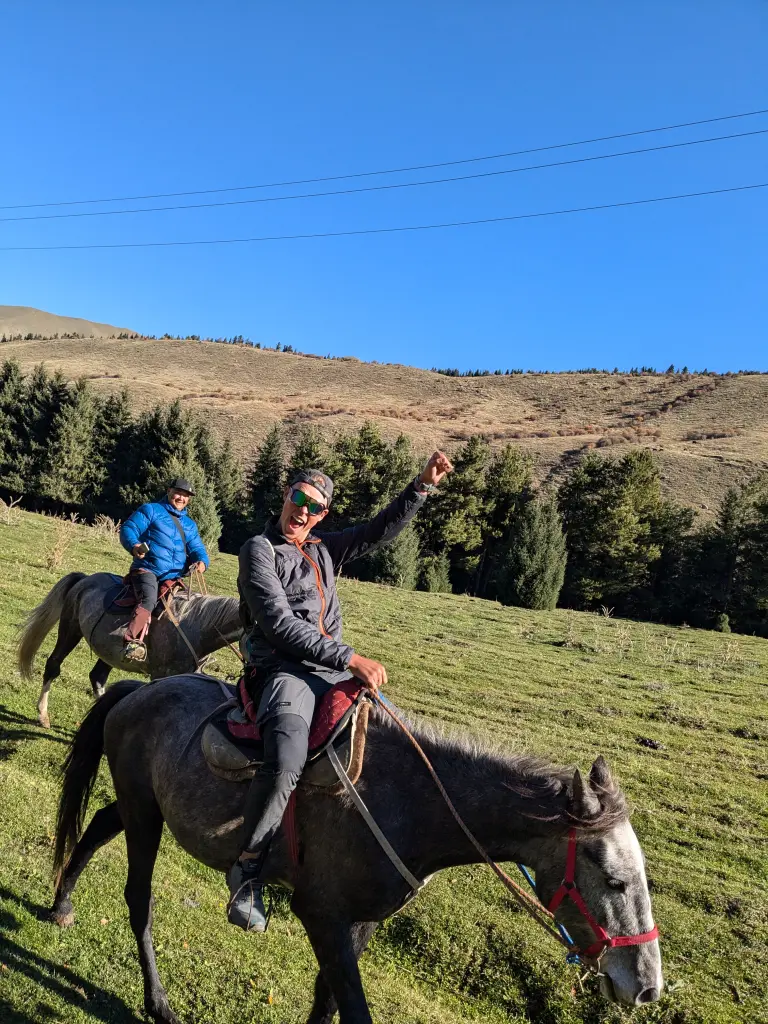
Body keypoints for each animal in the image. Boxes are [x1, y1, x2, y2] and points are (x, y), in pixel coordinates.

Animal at [16, 569, 241, 729]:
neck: (194, 625)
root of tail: (85, 579)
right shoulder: (160, 674)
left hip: (109, 650)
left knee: (97, 676)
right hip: (70, 629)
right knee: (54, 665)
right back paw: (43, 715)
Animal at [51, 671, 663, 1024]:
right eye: (612, 879)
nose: (647, 988)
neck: (405, 802)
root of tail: (139, 690)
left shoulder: (359, 922)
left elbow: (327, 1005)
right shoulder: (320, 915)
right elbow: (352, 1008)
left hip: (142, 806)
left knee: (97, 825)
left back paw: (60, 903)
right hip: (144, 815)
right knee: (139, 898)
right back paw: (157, 1003)